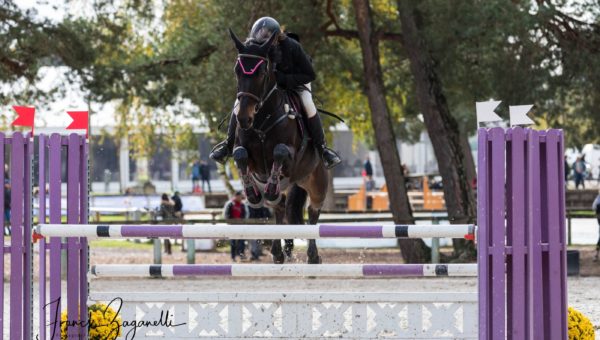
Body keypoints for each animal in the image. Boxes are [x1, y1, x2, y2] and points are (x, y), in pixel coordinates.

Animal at [227, 27, 328, 264]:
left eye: (261, 73)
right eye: (237, 71)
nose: (243, 118)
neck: (262, 120)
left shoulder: (291, 158)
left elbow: (280, 151)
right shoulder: (250, 159)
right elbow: (240, 154)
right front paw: (252, 193)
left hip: (316, 182)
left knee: (313, 213)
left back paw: (313, 256)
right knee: (279, 207)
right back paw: (278, 252)